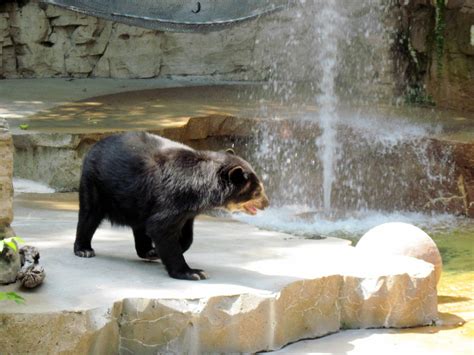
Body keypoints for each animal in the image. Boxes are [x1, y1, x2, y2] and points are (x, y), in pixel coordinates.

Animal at [72, 133, 268, 280]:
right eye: (257, 191)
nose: (267, 204)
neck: (200, 188)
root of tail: (94, 146)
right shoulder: (173, 195)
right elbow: (161, 227)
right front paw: (193, 272)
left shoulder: (188, 208)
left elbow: (184, 233)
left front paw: (168, 249)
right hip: (96, 182)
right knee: (90, 214)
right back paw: (84, 249)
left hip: (137, 197)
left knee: (140, 224)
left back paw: (148, 251)